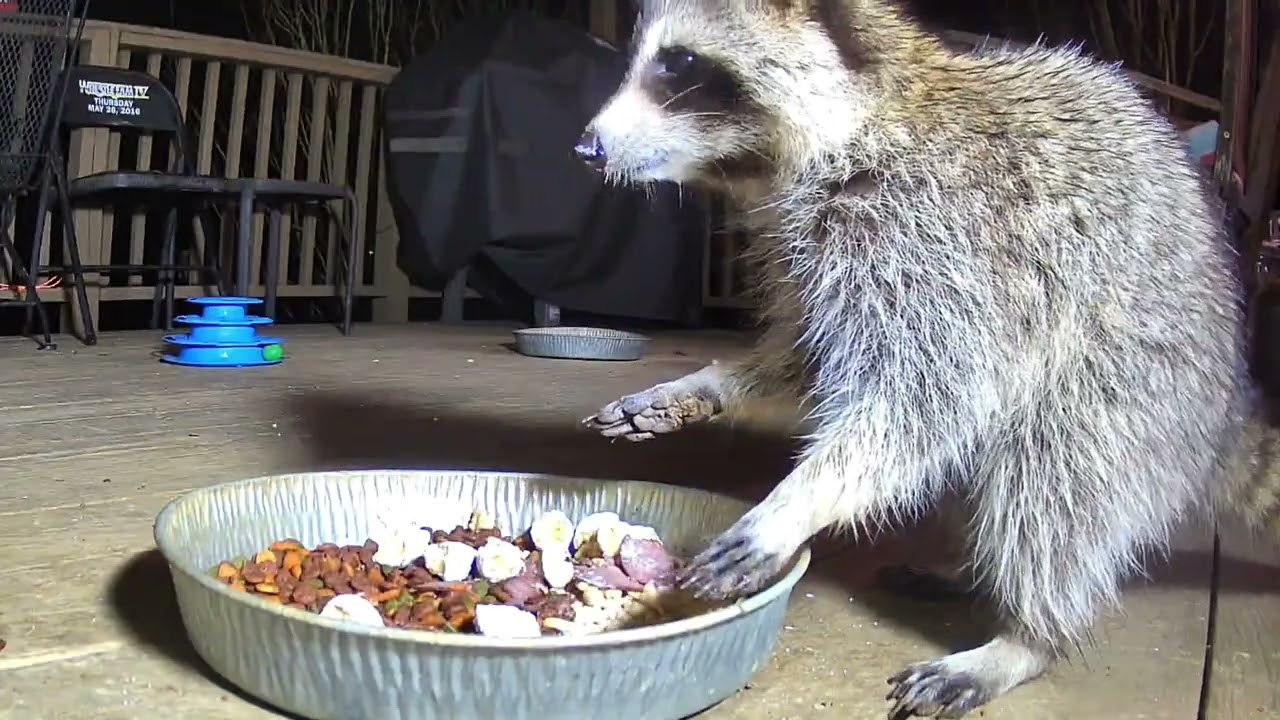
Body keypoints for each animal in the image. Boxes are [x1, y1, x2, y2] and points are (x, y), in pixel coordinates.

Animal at [578, 0, 1278, 717]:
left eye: (680, 63)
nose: (587, 146)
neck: (847, 133)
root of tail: (1225, 406)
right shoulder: (814, 247)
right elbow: (804, 353)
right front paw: (711, 384)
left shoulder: (941, 235)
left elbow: (931, 397)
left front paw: (797, 500)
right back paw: (969, 571)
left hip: (1137, 385)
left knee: (1051, 479)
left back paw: (1029, 634)